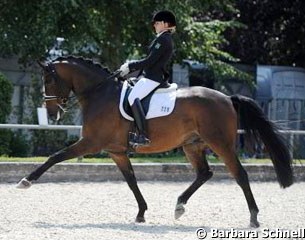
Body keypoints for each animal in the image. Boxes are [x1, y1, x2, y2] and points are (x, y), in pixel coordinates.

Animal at [16, 55, 292, 227]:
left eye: (49, 79)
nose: (52, 113)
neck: (100, 93)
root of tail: (227, 98)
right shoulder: (116, 151)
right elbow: (131, 181)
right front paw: (141, 213)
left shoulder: (91, 143)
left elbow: (55, 157)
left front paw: (26, 181)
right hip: (192, 145)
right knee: (205, 173)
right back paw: (179, 206)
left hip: (221, 144)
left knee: (240, 175)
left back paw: (253, 218)